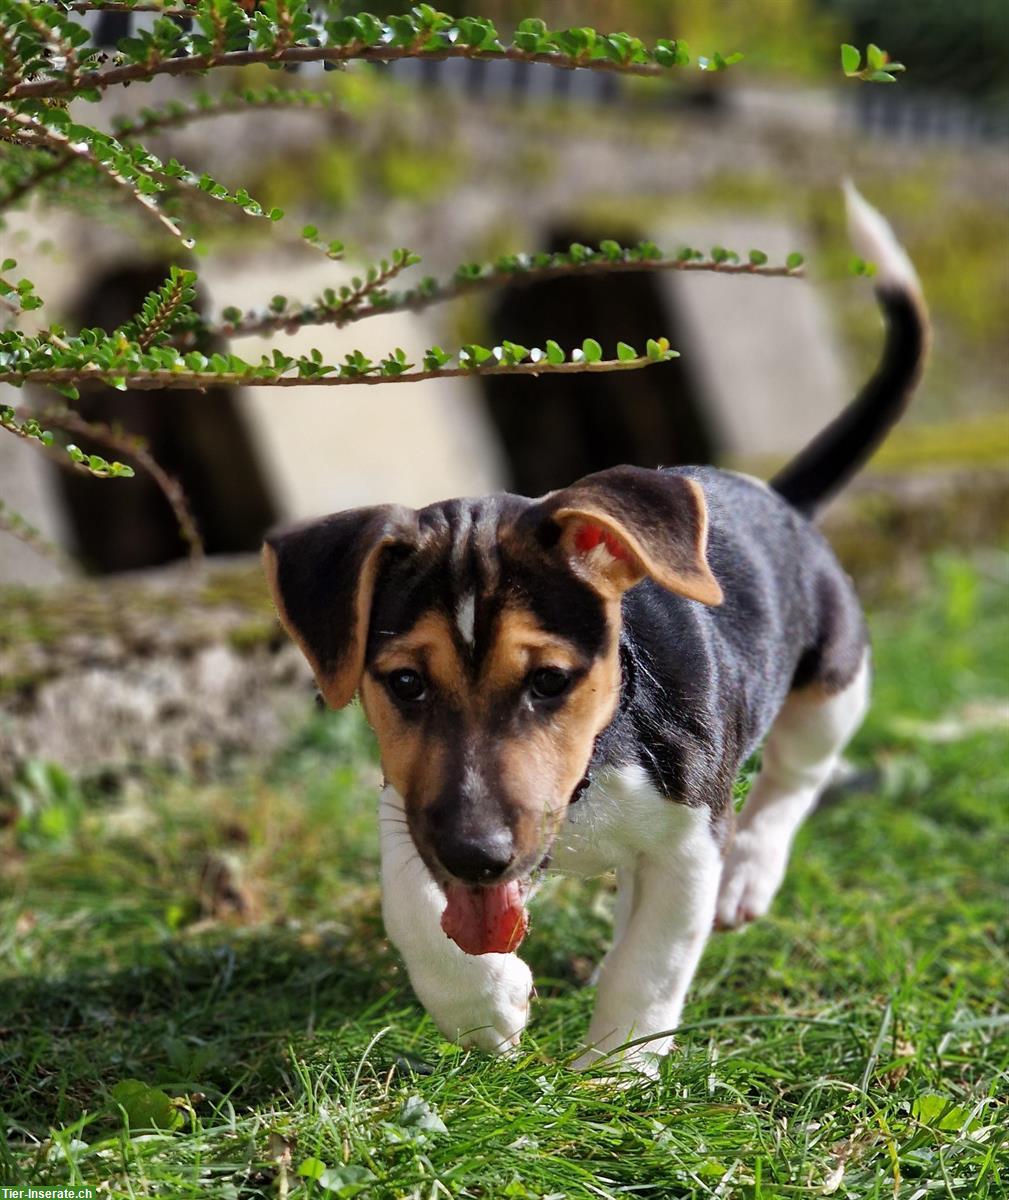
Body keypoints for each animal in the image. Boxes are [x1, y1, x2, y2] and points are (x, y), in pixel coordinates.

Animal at [263, 187, 926, 1070]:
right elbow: (413, 912)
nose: (475, 855)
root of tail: (778, 498)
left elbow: (648, 966)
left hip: (832, 683)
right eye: (404, 683)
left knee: (796, 777)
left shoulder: (686, 842)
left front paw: (610, 1077)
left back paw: (748, 874)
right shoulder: (406, 802)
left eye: (548, 680)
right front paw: (483, 1006)